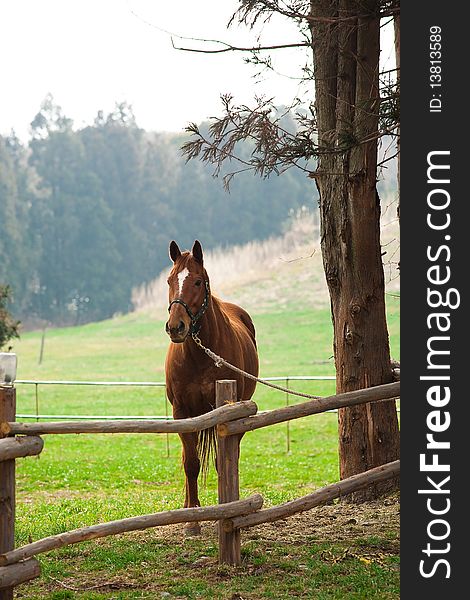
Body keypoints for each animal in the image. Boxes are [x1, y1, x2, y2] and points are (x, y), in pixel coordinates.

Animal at [164, 239, 260, 536]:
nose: (176, 327)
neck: (200, 355)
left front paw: (225, 511)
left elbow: (223, 462)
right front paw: (192, 519)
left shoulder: (229, 413)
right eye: (170, 280)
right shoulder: (182, 414)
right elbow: (191, 464)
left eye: (197, 281)